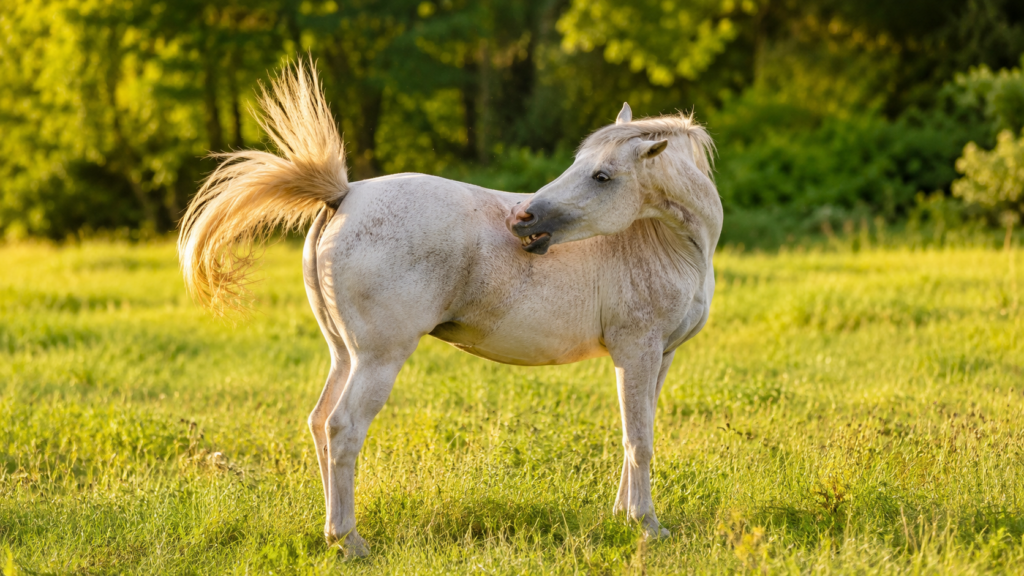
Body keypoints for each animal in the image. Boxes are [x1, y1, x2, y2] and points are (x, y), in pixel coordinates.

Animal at [178, 60, 722, 557]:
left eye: (602, 175)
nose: (522, 218)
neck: (666, 243)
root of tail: (344, 195)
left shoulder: (657, 357)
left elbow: (636, 432)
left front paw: (622, 516)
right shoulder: (637, 352)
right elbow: (640, 440)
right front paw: (646, 526)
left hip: (344, 355)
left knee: (319, 423)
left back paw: (333, 531)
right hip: (378, 359)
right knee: (343, 428)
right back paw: (349, 540)